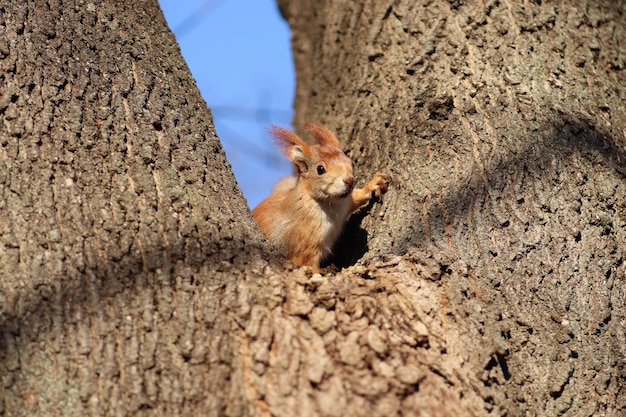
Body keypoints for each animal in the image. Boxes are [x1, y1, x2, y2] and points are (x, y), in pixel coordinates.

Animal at [250, 122, 388, 272]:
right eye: (320, 169)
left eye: (351, 162)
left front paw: (373, 184)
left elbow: (355, 198)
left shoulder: (345, 203)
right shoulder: (305, 244)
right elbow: (308, 264)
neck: (329, 203)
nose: (349, 181)